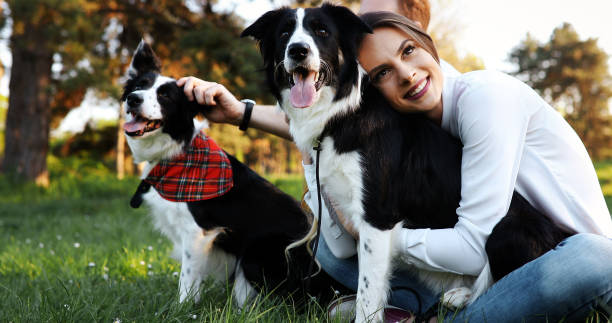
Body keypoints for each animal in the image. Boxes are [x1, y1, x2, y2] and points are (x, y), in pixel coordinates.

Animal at [122, 41, 346, 308]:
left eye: (165, 95)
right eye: (139, 86)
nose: (133, 99)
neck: (174, 152)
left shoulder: (197, 232)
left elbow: (187, 279)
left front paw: (182, 309)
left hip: (258, 251)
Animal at [241, 5, 576, 323]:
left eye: (322, 31)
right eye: (285, 34)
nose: (298, 50)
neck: (342, 114)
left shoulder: (376, 218)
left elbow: (367, 295)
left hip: (504, 231)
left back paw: (462, 296)